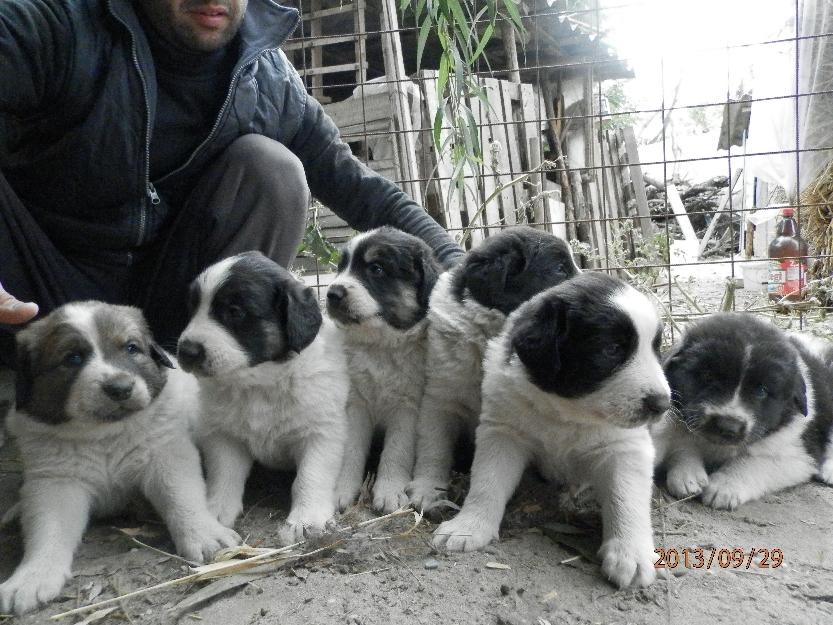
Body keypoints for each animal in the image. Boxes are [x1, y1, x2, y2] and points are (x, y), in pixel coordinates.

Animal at [0, 302, 240, 616]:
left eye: (131, 348)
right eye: (73, 357)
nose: (120, 387)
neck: (105, 436)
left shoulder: (166, 454)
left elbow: (182, 497)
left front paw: (206, 534)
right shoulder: (55, 481)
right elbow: (49, 527)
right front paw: (32, 577)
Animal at [176, 251, 348, 544]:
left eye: (234, 312)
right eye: (193, 307)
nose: (186, 351)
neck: (259, 384)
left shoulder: (321, 433)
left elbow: (310, 476)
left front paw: (307, 519)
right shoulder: (224, 436)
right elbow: (224, 474)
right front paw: (216, 511)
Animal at [324, 227, 442, 510]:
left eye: (376, 269)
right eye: (342, 267)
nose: (332, 293)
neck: (379, 346)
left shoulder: (407, 407)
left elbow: (397, 451)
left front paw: (390, 492)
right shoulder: (354, 404)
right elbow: (350, 450)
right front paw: (341, 491)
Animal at [432, 270, 668, 588]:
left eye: (655, 349)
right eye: (612, 349)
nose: (663, 403)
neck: (567, 411)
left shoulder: (625, 448)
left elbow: (625, 497)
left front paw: (631, 554)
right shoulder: (503, 433)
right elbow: (487, 483)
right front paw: (469, 526)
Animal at [648, 312, 832, 508]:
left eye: (761, 391)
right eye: (708, 377)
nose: (728, 426)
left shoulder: (798, 454)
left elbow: (755, 463)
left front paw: (723, 486)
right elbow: (683, 443)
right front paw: (687, 474)